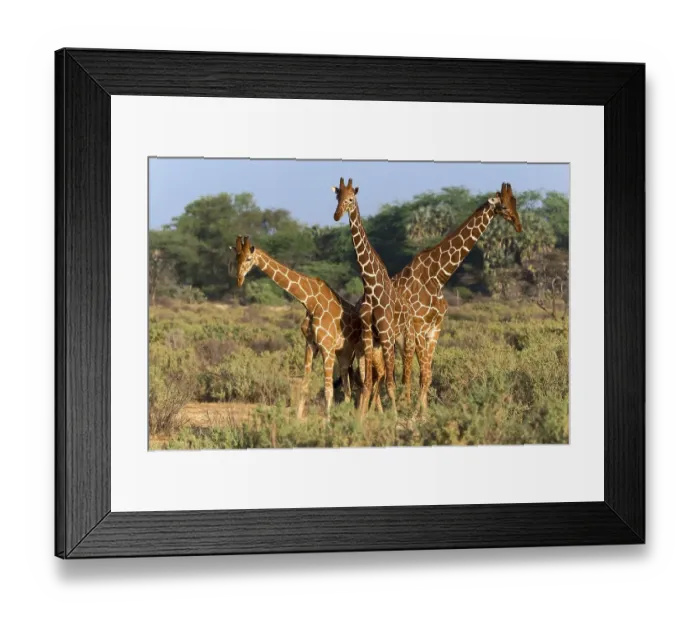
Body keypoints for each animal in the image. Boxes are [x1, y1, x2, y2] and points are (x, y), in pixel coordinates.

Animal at [230, 235, 385, 418]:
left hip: (368, 351)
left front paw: (327, 421)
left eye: (248, 258)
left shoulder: (327, 348)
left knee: (374, 377)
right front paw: (298, 420)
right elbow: (304, 387)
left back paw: (377, 415)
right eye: (236, 258)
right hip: (346, 354)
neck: (310, 302)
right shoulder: (310, 345)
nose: (238, 280)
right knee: (352, 388)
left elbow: (328, 391)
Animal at [332, 177, 415, 416]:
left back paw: (408, 408)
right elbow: (368, 381)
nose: (337, 215)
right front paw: (361, 417)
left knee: (406, 375)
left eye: (351, 199)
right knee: (381, 376)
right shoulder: (370, 337)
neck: (370, 286)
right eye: (337, 197)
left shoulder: (386, 335)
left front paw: (394, 417)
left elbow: (391, 383)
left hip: (404, 338)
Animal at [392, 182, 522, 412]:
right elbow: (421, 372)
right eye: (505, 206)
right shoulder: (418, 326)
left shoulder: (435, 328)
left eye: (515, 202)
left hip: (400, 339)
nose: (518, 225)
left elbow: (427, 375)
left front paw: (423, 412)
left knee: (402, 368)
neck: (437, 277)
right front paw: (415, 412)